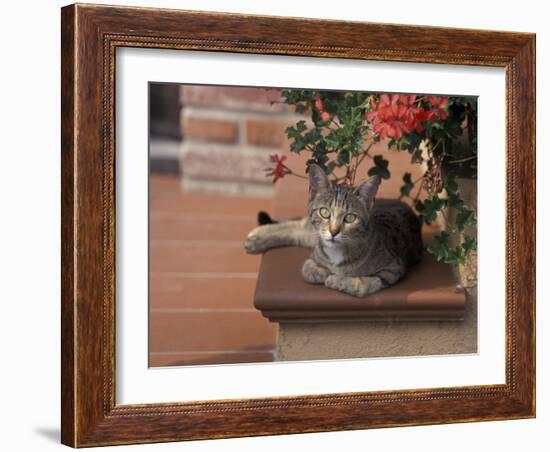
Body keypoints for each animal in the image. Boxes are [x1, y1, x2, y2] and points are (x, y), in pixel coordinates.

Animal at [245, 164, 422, 298]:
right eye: (324, 212)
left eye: (350, 218)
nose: (333, 231)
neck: (338, 252)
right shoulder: (315, 252)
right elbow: (307, 268)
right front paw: (323, 273)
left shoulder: (393, 267)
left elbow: (365, 284)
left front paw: (336, 280)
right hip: (312, 232)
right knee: (298, 226)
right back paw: (256, 238)